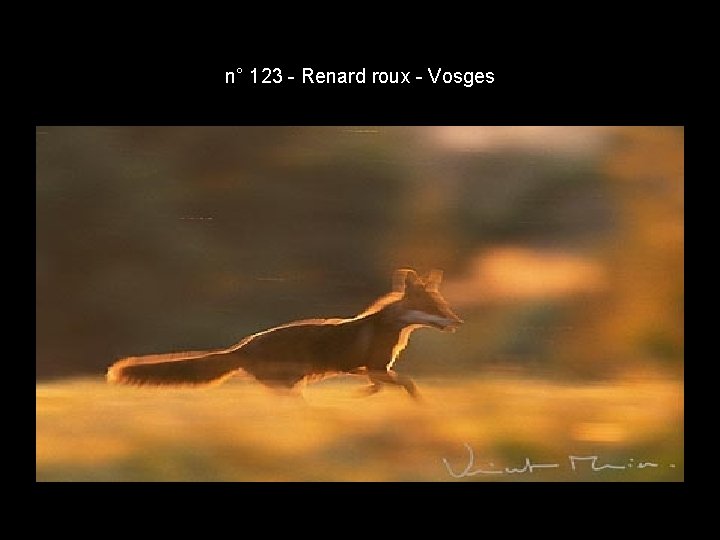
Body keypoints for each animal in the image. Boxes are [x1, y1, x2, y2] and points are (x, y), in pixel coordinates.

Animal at [107, 268, 463, 399]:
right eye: (434, 307)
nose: (457, 322)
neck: (389, 327)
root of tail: (241, 346)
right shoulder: (372, 367)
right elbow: (406, 383)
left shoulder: (368, 369)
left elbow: (385, 385)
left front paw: (364, 396)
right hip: (288, 384)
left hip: (289, 384)